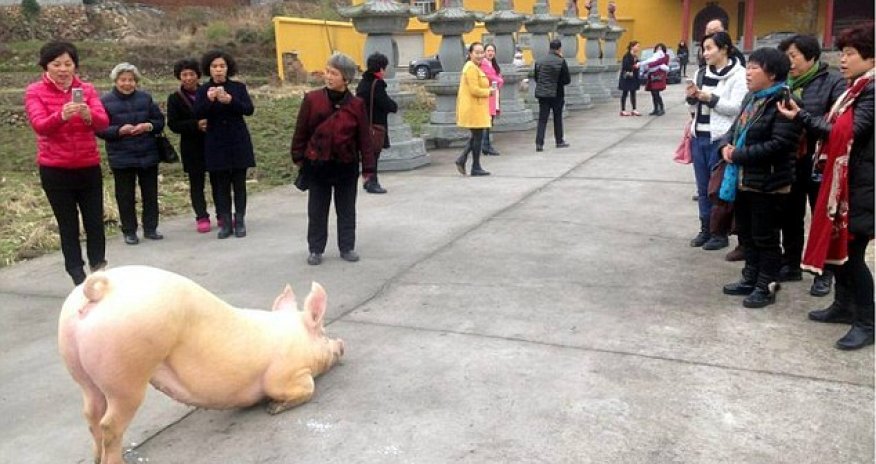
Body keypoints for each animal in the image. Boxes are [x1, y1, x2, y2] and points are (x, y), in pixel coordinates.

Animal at [57, 265, 345, 464]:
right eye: (323, 332)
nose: (342, 344)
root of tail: (102, 291)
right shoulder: (286, 373)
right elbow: (305, 388)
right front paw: (273, 408)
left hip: (79, 369)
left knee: (91, 414)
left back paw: (96, 457)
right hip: (127, 374)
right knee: (109, 424)